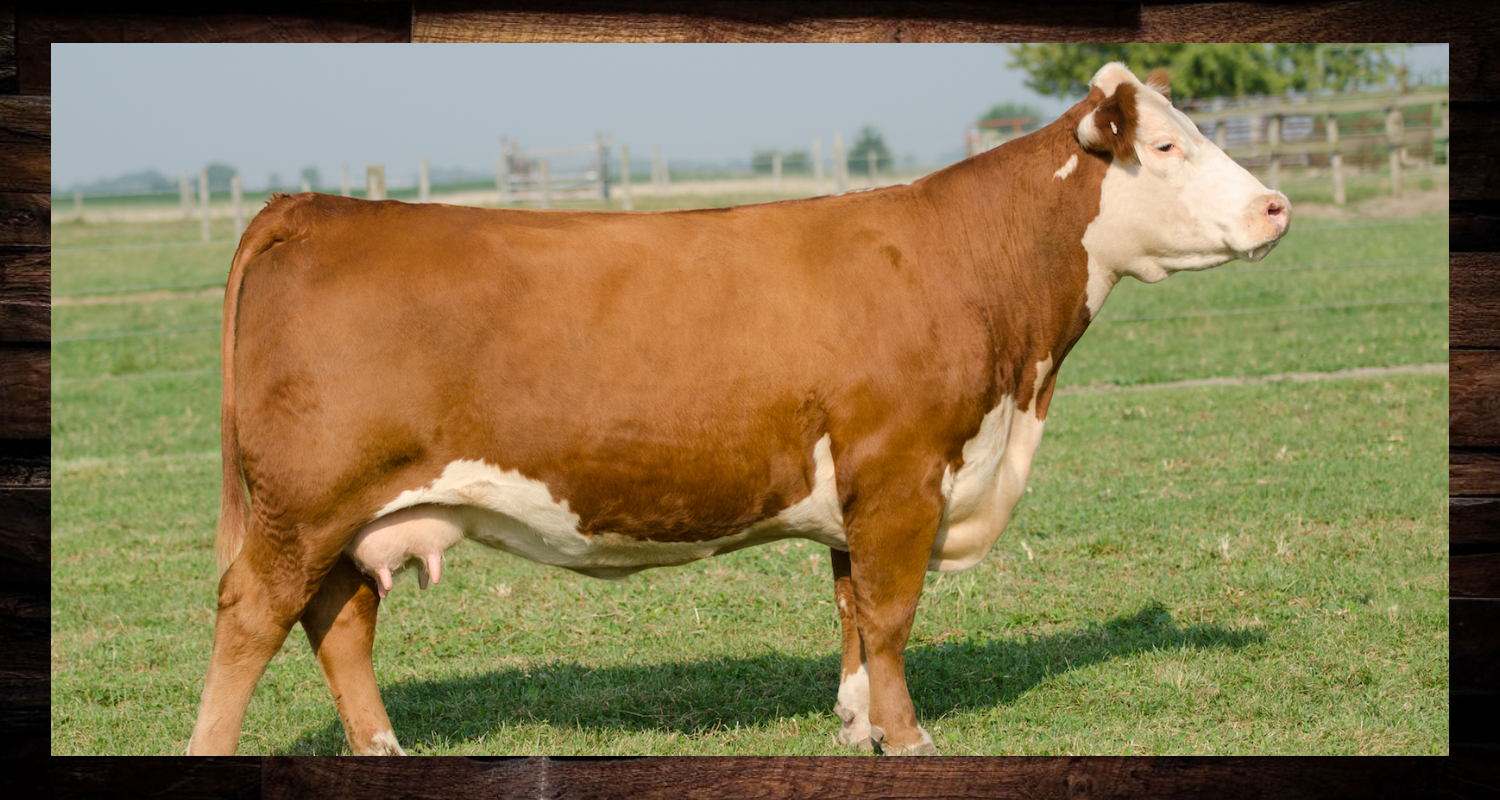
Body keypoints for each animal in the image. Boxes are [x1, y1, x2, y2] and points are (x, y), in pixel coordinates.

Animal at [188, 63, 1289, 756]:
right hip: (302, 506)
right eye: (1167, 145)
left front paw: (860, 727)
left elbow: (851, 611)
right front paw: (911, 736)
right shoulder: (903, 473)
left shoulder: (860, 490)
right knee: (252, 618)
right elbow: (892, 614)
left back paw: (384, 746)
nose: (1276, 205)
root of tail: (316, 205)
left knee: (340, 621)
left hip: (347, 517)